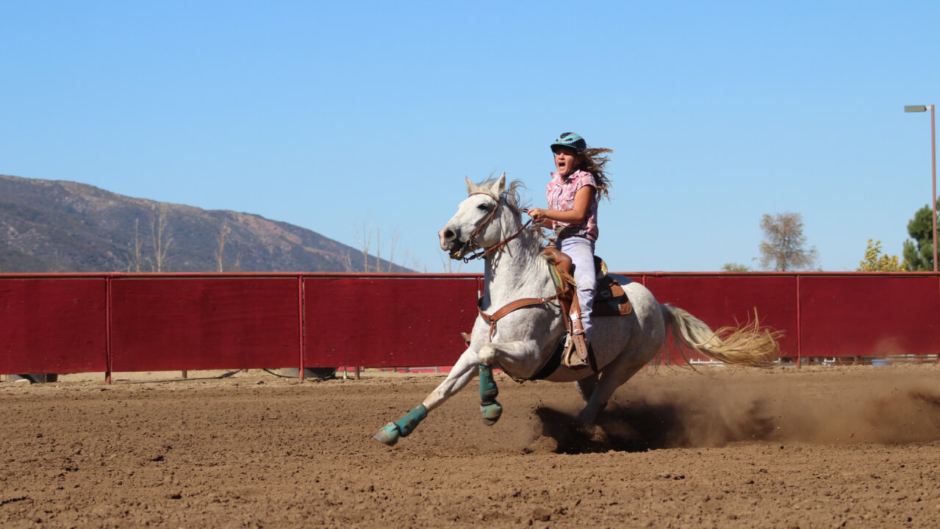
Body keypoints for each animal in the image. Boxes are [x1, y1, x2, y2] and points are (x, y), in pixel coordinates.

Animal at [373, 173, 779, 446]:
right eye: (459, 206)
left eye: (483, 206)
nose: (446, 235)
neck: (514, 287)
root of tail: (658, 305)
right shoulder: (470, 353)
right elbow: (444, 388)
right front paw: (395, 429)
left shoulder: (528, 356)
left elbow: (490, 355)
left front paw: (490, 405)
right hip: (586, 368)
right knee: (595, 396)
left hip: (627, 363)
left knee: (599, 399)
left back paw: (578, 431)